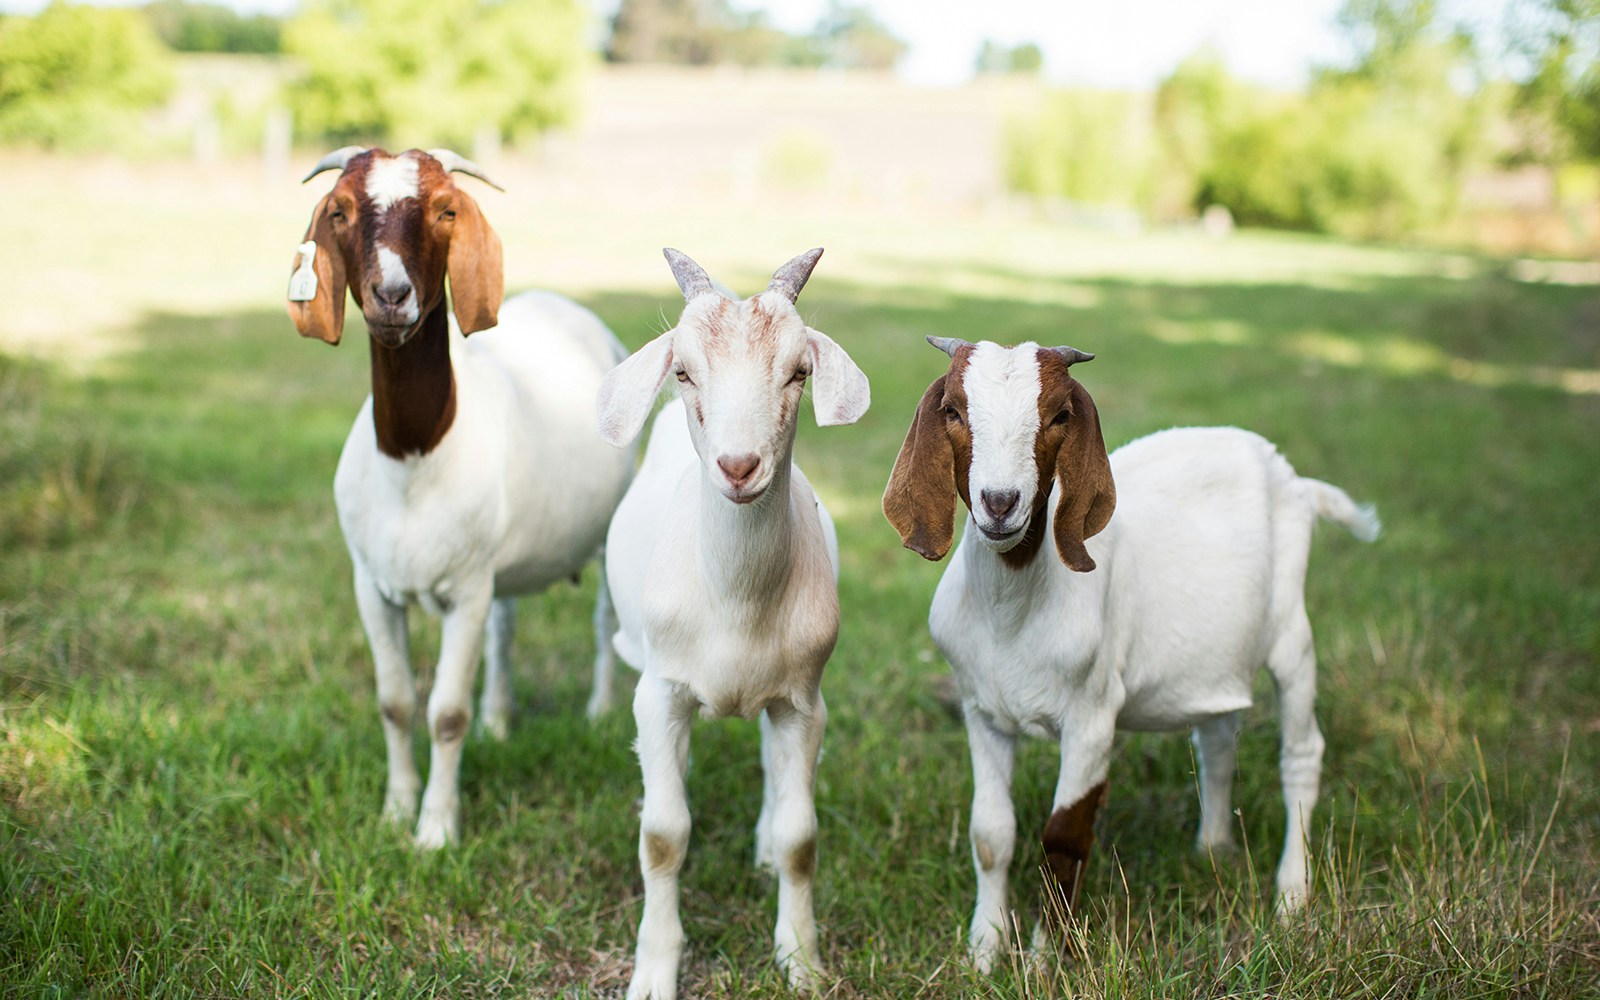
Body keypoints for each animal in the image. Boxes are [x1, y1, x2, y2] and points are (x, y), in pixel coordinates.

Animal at [287, 147, 633, 848]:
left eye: (447, 210)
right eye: (340, 211)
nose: (392, 296)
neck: (415, 460)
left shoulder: (465, 592)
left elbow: (446, 713)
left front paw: (437, 831)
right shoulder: (372, 584)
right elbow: (395, 702)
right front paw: (396, 810)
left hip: (608, 527)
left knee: (604, 620)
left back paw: (599, 713)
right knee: (506, 624)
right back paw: (500, 720)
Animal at [595, 248, 870, 1000]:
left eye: (800, 371)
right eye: (684, 371)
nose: (739, 466)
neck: (737, 602)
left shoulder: (804, 700)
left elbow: (802, 837)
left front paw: (801, 961)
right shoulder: (659, 690)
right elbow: (664, 834)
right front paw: (654, 972)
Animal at [882, 337, 1379, 970]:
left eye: (1059, 416)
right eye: (952, 410)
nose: (999, 502)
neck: (1012, 611)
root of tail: (1295, 480)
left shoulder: (1093, 718)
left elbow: (1064, 837)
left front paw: (1045, 959)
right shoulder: (981, 710)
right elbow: (991, 835)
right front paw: (984, 952)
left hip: (1292, 630)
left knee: (1302, 753)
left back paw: (1292, 895)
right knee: (1218, 740)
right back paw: (1211, 850)